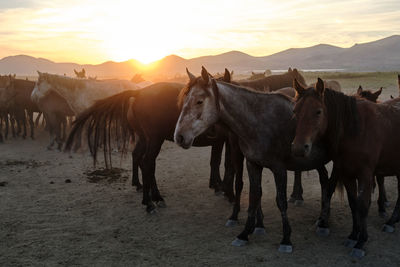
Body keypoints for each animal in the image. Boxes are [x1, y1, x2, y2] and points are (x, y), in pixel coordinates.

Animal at [64, 81, 233, 214]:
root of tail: (139, 92)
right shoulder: (225, 140)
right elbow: (222, 163)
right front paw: (223, 188)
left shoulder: (221, 141)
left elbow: (217, 162)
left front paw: (218, 185)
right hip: (155, 140)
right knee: (147, 163)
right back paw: (150, 201)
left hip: (146, 139)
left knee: (139, 158)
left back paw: (145, 189)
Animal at [290, 78, 400, 258]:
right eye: (295, 111)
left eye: (318, 112)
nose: (299, 148)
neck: (356, 131)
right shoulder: (347, 174)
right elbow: (353, 204)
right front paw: (353, 236)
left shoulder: (365, 175)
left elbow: (362, 206)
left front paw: (361, 242)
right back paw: (392, 221)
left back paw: (391, 221)